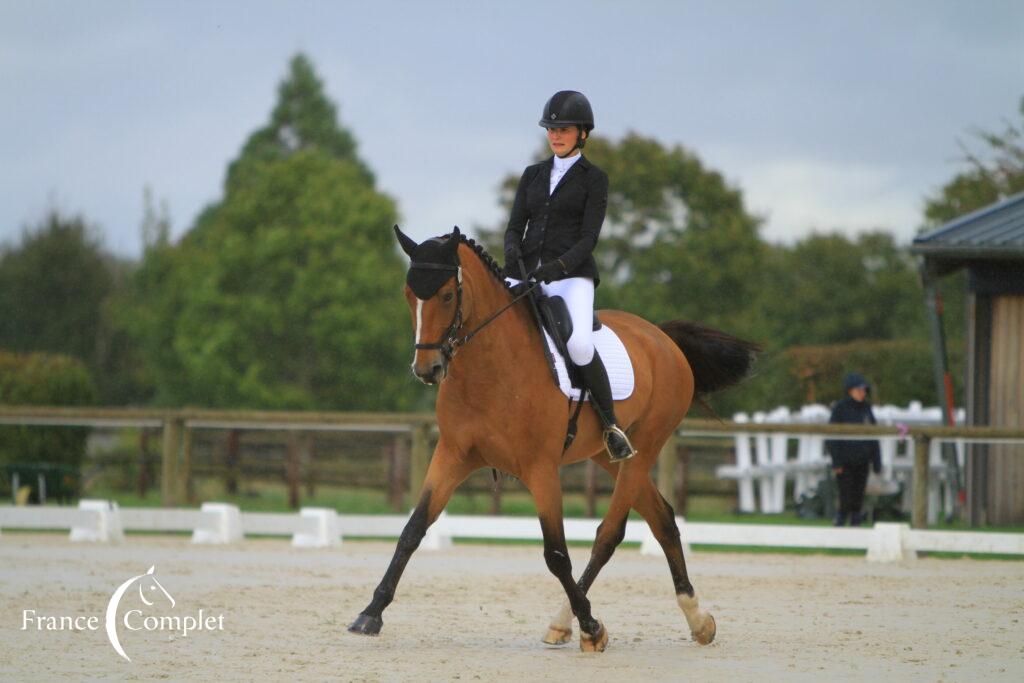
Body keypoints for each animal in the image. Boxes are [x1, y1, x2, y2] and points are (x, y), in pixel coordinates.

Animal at [348, 225, 757, 651]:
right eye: (409, 294)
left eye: (446, 295)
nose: (427, 369)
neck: (489, 369)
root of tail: (661, 337)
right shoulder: (453, 455)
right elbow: (413, 529)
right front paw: (370, 614)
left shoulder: (540, 469)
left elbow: (556, 553)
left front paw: (593, 626)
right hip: (607, 456)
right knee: (661, 518)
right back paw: (694, 620)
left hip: (645, 447)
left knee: (609, 533)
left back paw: (578, 621)